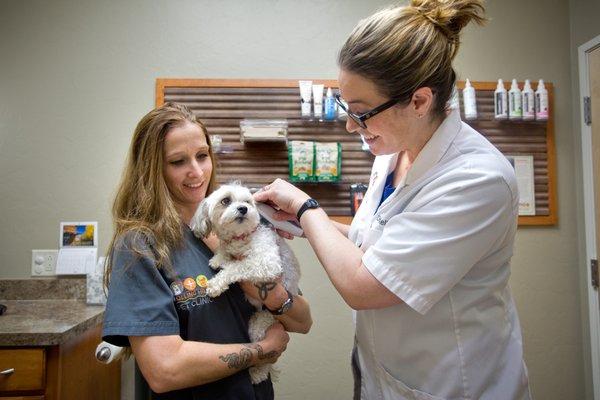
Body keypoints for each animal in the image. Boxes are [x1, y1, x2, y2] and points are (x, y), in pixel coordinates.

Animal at [191, 182, 300, 384]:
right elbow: (224, 252)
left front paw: (216, 283)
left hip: (260, 324)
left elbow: (238, 266)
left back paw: (258, 373)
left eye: (248, 201)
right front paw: (219, 258)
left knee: (267, 357)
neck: (241, 237)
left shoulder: (267, 263)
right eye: (226, 200)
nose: (243, 208)